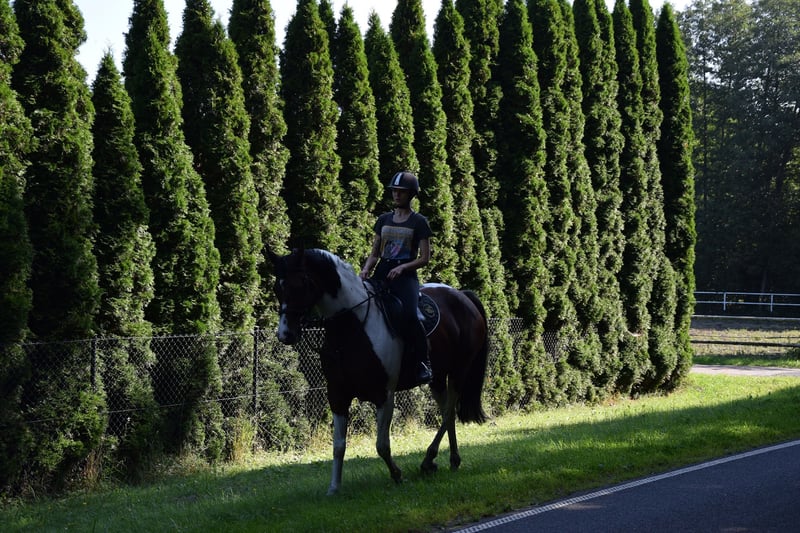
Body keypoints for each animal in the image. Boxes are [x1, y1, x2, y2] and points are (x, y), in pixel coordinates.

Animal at [267, 247, 489, 495]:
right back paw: (450, 460)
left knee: (450, 411)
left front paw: (397, 475)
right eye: (277, 288)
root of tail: (463, 296)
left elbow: (382, 445)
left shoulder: (384, 395)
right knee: (446, 413)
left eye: (300, 285)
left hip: (460, 370)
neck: (351, 327)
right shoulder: (337, 395)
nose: (285, 334)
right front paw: (334, 487)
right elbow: (338, 445)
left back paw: (428, 460)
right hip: (438, 377)